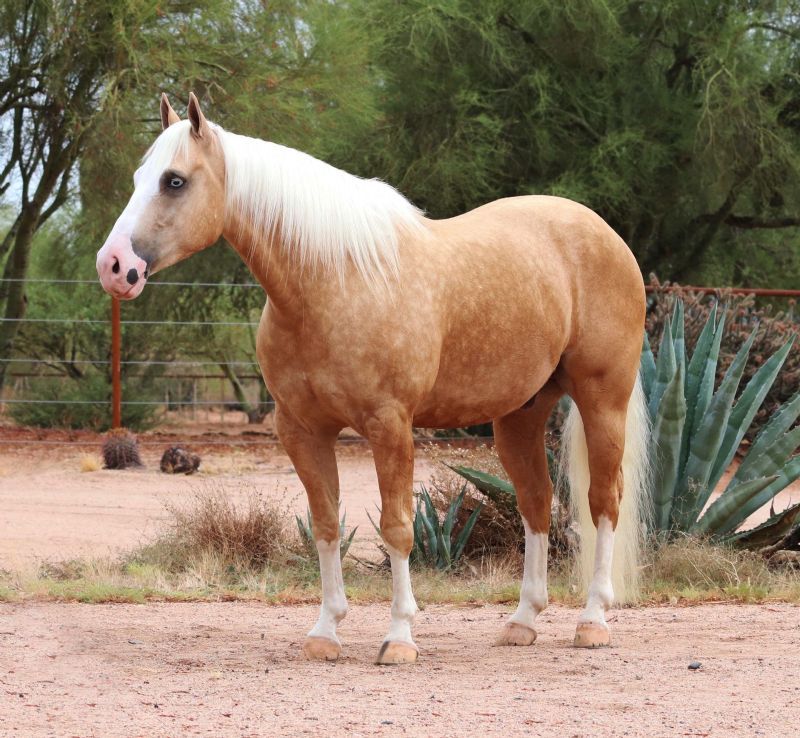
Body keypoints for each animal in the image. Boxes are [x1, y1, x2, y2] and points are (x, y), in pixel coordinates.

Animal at [96, 93, 649, 665]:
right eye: (140, 176)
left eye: (175, 180)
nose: (114, 266)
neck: (331, 282)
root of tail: (605, 235)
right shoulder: (302, 431)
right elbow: (325, 525)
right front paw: (325, 632)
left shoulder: (390, 426)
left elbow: (397, 529)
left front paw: (399, 637)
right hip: (521, 414)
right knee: (536, 503)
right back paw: (522, 621)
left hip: (602, 399)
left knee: (603, 502)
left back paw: (593, 620)